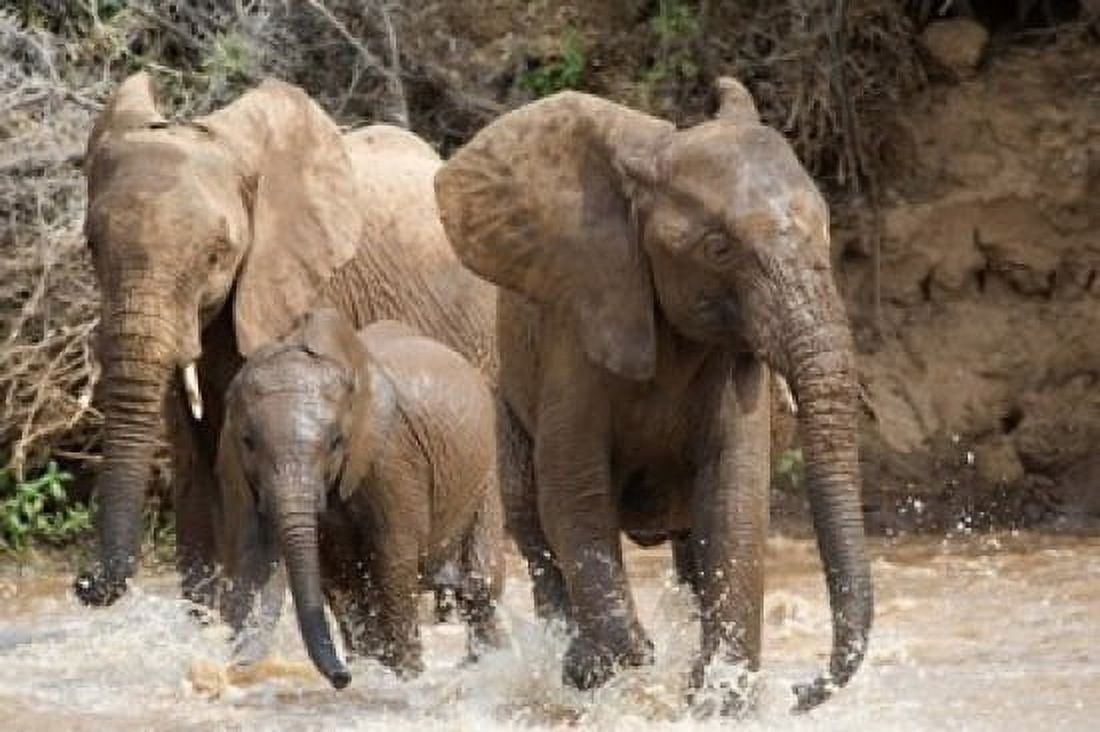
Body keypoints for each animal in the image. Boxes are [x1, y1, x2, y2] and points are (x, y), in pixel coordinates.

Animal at [216, 310, 504, 689]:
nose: (342, 678)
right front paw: (373, 666)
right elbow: (337, 576)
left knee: (479, 584)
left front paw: (407, 677)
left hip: (485, 475)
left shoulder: (391, 457)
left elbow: (393, 560)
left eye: (336, 442)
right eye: (247, 442)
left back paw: (489, 662)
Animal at [433, 76, 873, 714]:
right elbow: (573, 485)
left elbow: (736, 494)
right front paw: (614, 661)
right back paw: (568, 667)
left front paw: (719, 700)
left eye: (827, 229)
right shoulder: (578, 328)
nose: (802, 690)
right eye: (718, 248)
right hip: (505, 412)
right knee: (534, 527)